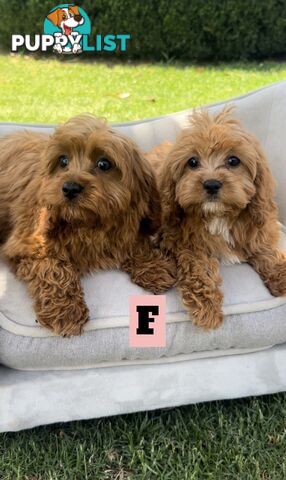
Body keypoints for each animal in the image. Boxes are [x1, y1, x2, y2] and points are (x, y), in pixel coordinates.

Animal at [0, 114, 174, 336]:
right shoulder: (27, 242)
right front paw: (66, 310)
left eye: (104, 164)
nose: (70, 188)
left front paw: (153, 266)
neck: (86, 224)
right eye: (62, 161)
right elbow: (53, 268)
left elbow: (134, 242)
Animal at [146, 106, 286, 328]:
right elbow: (197, 265)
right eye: (192, 162)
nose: (211, 184)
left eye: (233, 161)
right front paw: (207, 306)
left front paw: (280, 273)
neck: (218, 215)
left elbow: (263, 247)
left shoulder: (258, 225)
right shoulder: (182, 241)